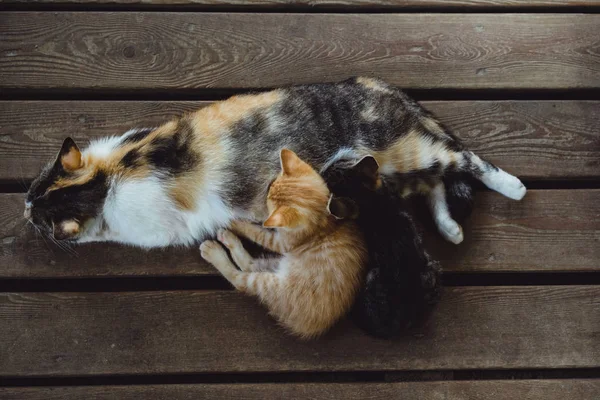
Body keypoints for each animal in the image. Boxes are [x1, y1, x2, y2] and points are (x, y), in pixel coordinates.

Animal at [25, 77, 524, 247]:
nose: (24, 207)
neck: (109, 177)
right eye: (33, 190)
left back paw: (513, 187)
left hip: (408, 148)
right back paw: (450, 229)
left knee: (464, 159)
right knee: (435, 183)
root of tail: (377, 84)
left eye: (36, 207)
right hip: (392, 172)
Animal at [199, 148, 366, 340]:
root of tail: (307, 328)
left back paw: (214, 251)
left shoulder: (282, 243)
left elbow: (258, 233)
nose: (264, 201)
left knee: (241, 280)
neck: (323, 222)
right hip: (280, 262)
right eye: (271, 187)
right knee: (250, 264)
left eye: (269, 200)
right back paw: (228, 239)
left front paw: (236, 223)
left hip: (271, 283)